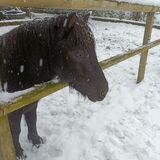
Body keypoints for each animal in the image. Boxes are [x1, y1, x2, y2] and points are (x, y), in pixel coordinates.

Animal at [0, 13, 109, 159]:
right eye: (79, 53)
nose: (104, 90)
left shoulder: (31, 103)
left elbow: (32, 120)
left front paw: (36, 141)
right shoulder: (11, 114)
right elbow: (15, 132)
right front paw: (18, 152)